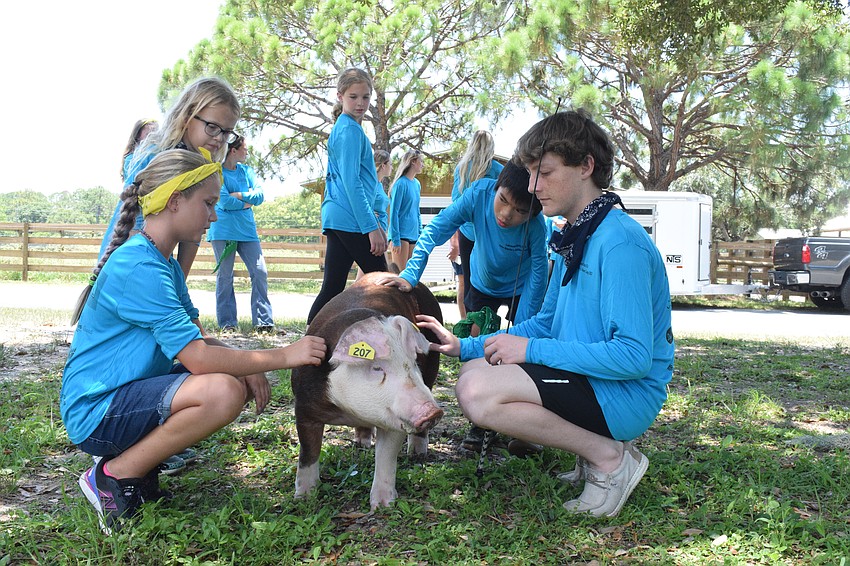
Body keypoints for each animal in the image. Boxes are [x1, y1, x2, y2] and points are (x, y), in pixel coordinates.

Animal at [291, 272, 444, 509]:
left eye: (412, 362)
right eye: (376, 367)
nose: (433, 412)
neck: (347, 411)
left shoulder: (395, 419)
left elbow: (386, 457)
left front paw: (383, 505)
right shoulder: (304, 407)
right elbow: (309, 452)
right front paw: (304, 499)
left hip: (432, 368)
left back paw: (416, 454)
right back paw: (362, 444)